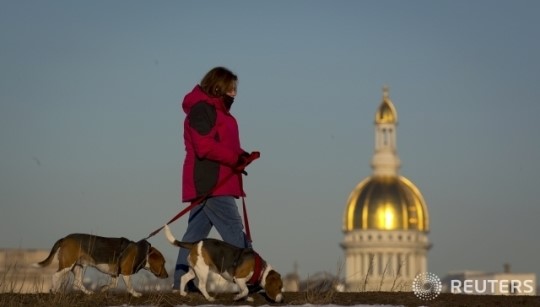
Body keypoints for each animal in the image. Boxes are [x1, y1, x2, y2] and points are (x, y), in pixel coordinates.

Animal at [33, 235, 167, 298]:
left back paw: (88, 292)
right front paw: (135, 294)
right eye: (163, 263)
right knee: (55, 275)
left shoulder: (115, 273)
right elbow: (129, 286)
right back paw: (55, 291)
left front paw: (103, 289)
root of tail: (64, 239)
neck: (143, 252)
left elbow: (114, 284)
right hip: (68, 264)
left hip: (79, 266)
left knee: (76, 282)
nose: (167, 276)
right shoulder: (126, 272)